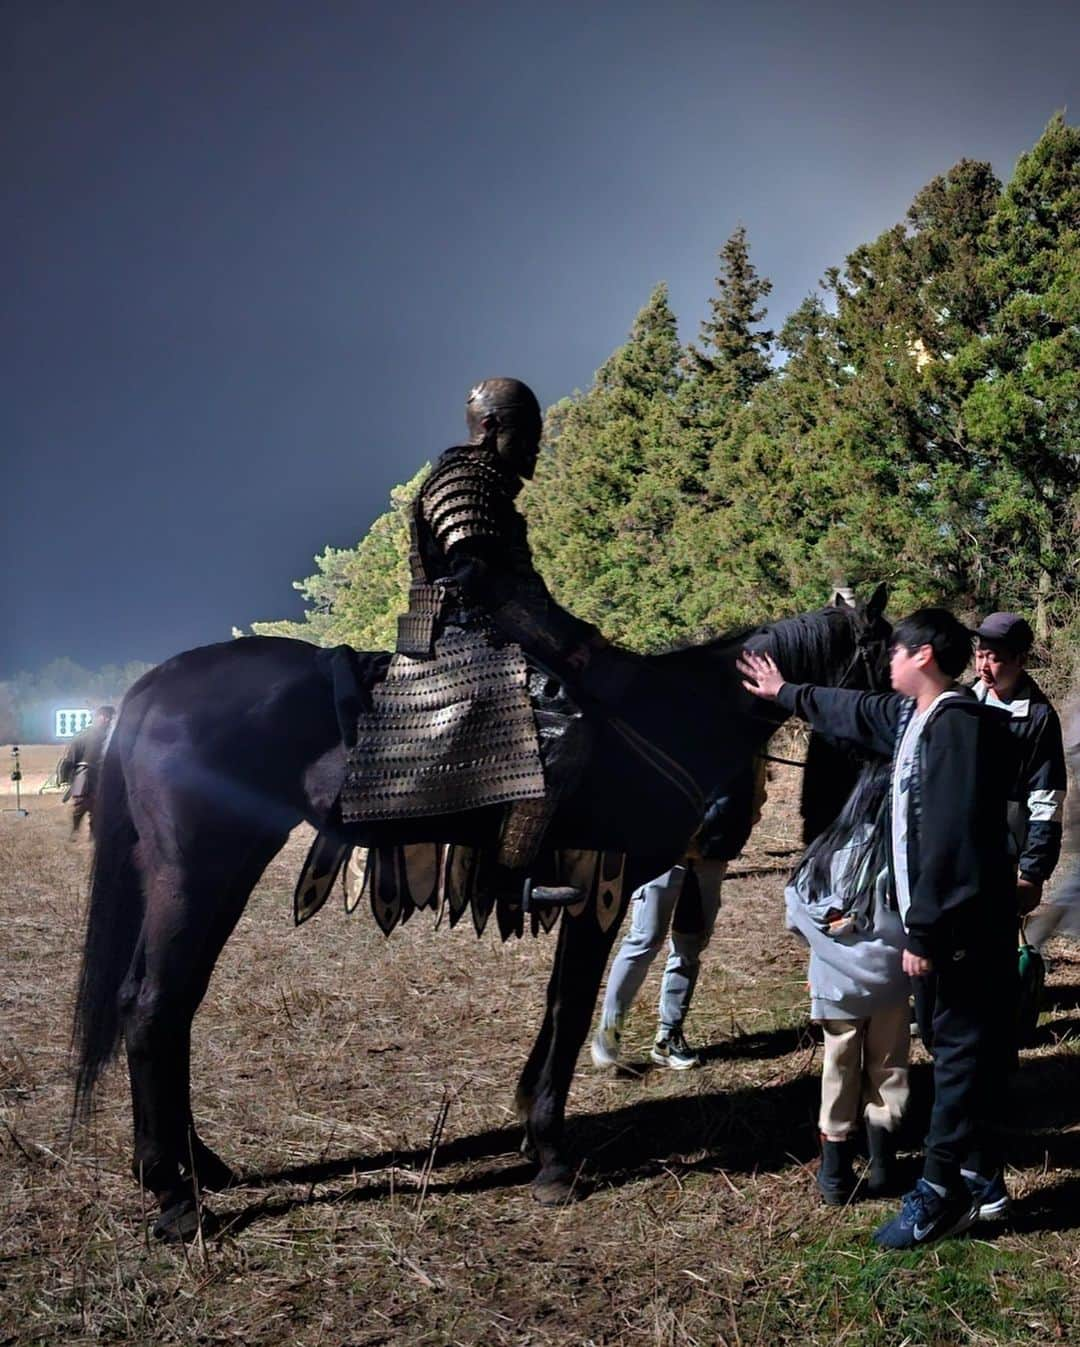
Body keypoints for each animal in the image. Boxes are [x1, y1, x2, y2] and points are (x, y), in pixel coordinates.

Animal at [73, 584, 883, 1233]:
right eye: (884, 657)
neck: (674, 714)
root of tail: (149, 690)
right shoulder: (600, 892)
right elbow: (571, 1006)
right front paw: (550, 1153)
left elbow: (559, 1004)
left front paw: (532, 1127)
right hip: (201, 873)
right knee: (153, 1007)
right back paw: (173, 1193)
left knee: (159, 1004)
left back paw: (195, 1164)